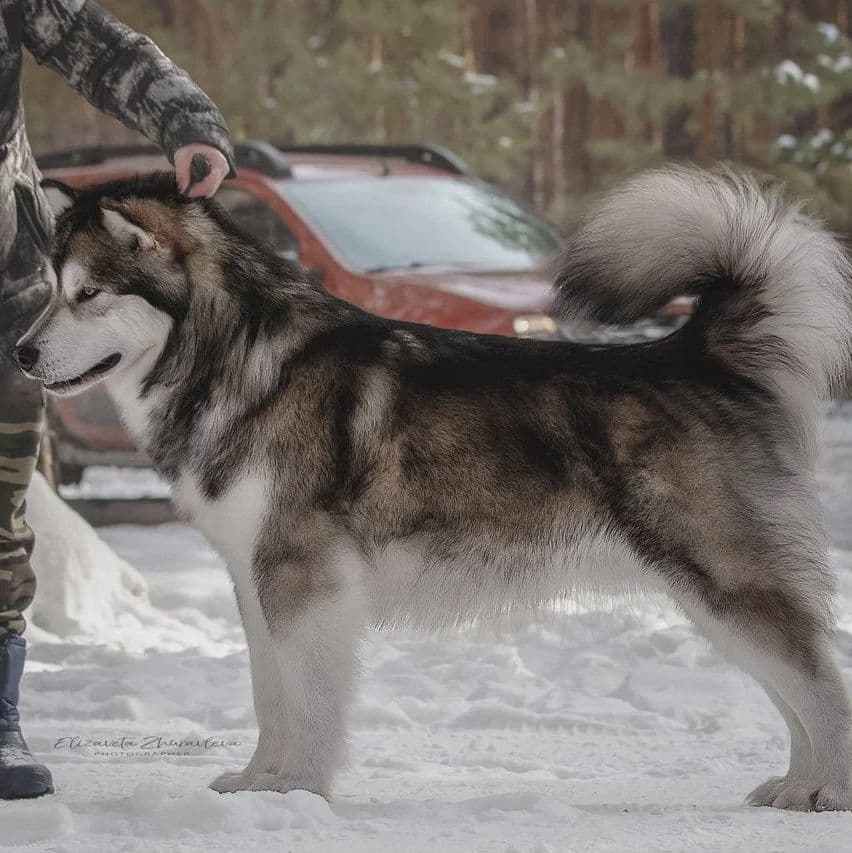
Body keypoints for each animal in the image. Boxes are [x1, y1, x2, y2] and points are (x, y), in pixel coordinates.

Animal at [11, 168, 852, 812]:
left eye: (88, 293)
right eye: (51, 287)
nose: (19, 351)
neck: (237, 360)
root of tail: (693, 353)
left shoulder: (303, 580)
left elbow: (308, 702)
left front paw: (298, 790)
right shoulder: (256, 580)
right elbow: (270, 696)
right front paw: (260, 782)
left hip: (724, 579)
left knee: (820, 681)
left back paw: (825, 791)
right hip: (710, 596)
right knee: (798, 687)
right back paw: (791, 785)